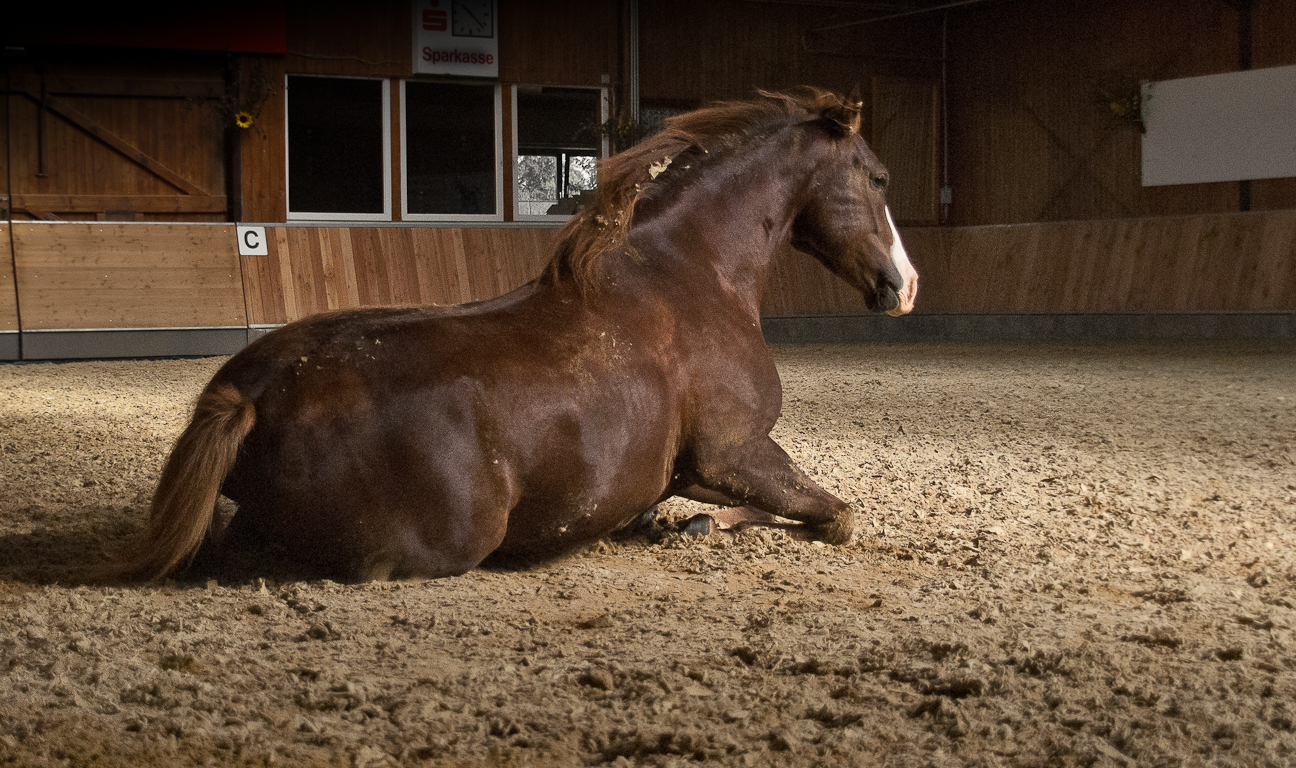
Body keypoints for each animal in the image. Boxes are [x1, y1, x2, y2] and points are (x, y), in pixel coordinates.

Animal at [116, 88, 917, 580]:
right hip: (436, 547)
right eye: (877, 177)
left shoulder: (697, 468)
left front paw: (674, 526)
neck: (691, 271)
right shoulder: (736, 453)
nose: (904, 286)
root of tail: (250, 396)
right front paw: (696, 527)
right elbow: (837, 516)